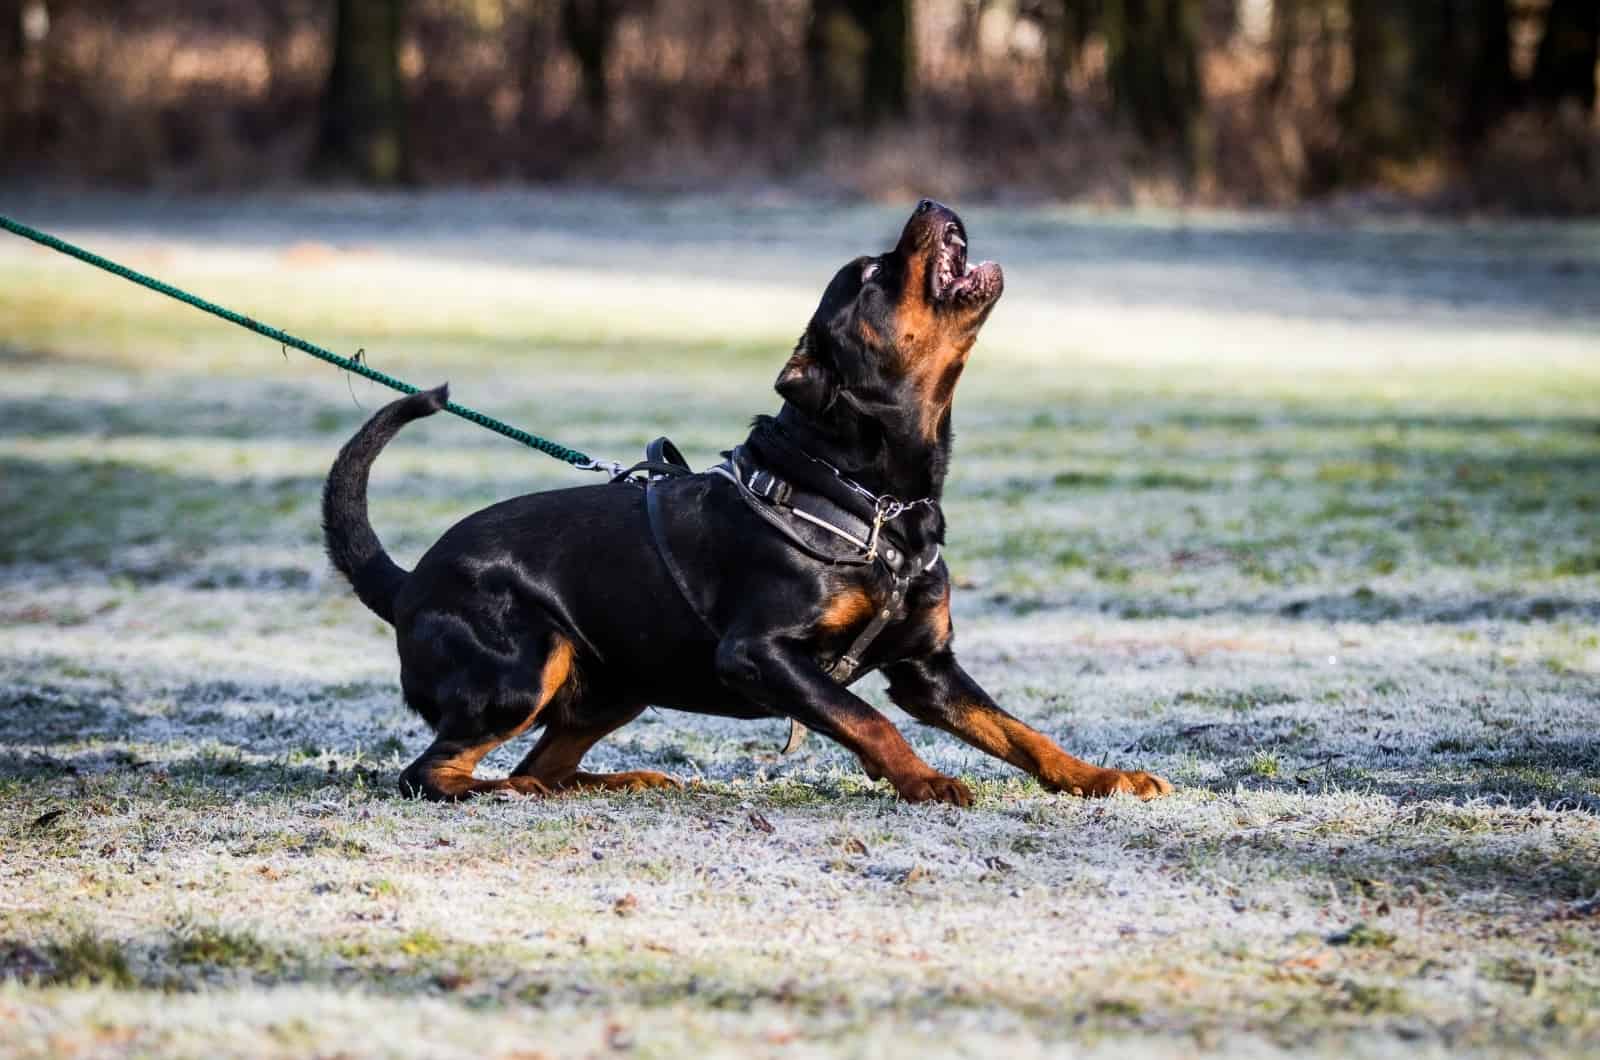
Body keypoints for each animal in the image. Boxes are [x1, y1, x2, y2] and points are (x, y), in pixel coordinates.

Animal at [328, 203, 1177, 810]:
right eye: (873, 275)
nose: (930, 201)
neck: (874, 498)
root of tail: (405, 581)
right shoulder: (760, 653)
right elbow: (866, 717)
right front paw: (925, 780)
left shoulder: (927, 669)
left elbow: (1019, 732)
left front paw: (1103, 778)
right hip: (524, 665)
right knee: (429, 772)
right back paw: (502, 790)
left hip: (617, 681)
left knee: (549, 760)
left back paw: (604, 782)